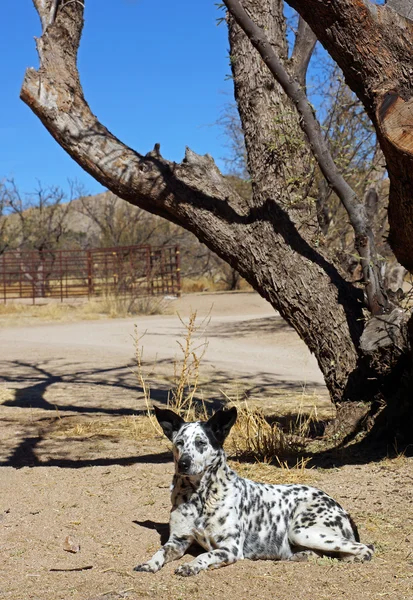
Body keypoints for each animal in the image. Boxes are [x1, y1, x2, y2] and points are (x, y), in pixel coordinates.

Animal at [133, 408, 374, 576]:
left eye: (201, 443)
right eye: (180, 442)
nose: (183, 464)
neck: (200, 496)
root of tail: (340, 508)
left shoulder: (230, 548)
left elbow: (206, 553)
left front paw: (192, 565)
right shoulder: (178, 540)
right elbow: (161, 551)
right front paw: (149, 563)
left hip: (303, 530)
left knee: (365, 548)